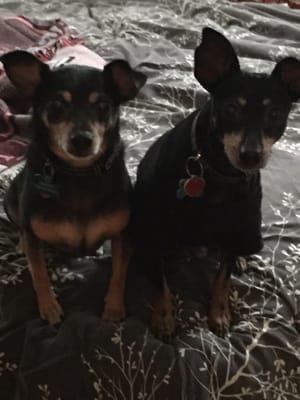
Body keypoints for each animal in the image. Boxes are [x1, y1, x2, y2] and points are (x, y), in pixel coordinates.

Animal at [1, 50, 146, 324]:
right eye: (57, 105)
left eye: (102, 106)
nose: (81, 140)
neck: (79, 172)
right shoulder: (34, 237)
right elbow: (39, 274)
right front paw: (49, 308)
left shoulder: (123, 234)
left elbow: (119, 272)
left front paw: (113, 307)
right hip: (11, 199)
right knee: (20, 226)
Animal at [132, 27, 300, 338]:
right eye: (231, 108)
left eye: (275, 115)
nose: (251, 155)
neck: (219, 172)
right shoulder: (155, 230)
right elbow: (160, 282)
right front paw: (164, 317)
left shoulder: (238, 223)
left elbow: (223, 278)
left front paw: (220, 314)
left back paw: (241, 259)